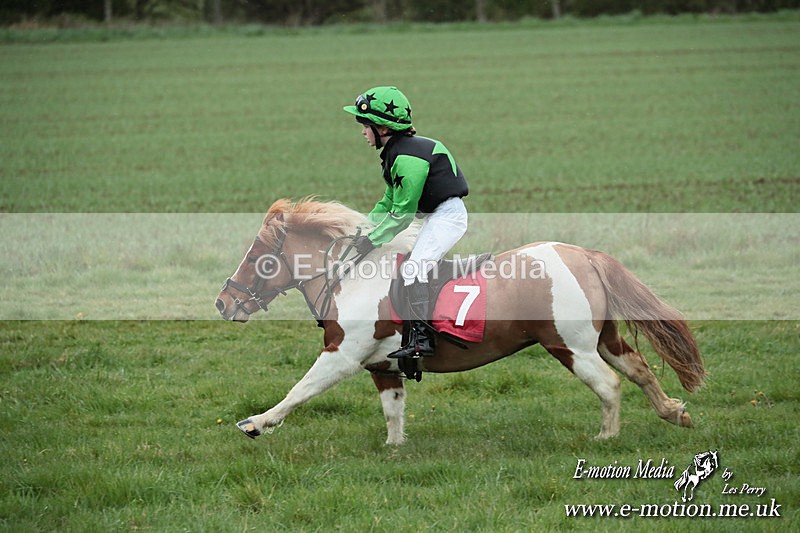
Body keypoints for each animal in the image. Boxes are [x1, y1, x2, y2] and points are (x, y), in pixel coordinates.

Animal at [215, 198, 706, 445]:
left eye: (258, 258)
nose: (223, 303)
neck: (349, 276)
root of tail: (584, 255)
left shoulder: (343, 354)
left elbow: (299, 391)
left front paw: (255, 424)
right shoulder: (382, 366)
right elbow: (393, 411)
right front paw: (395, 450)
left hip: (571, 346)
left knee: (609, 384)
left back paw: (606, 438)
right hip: (603, 339)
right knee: (638, 369)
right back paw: (674, 413)